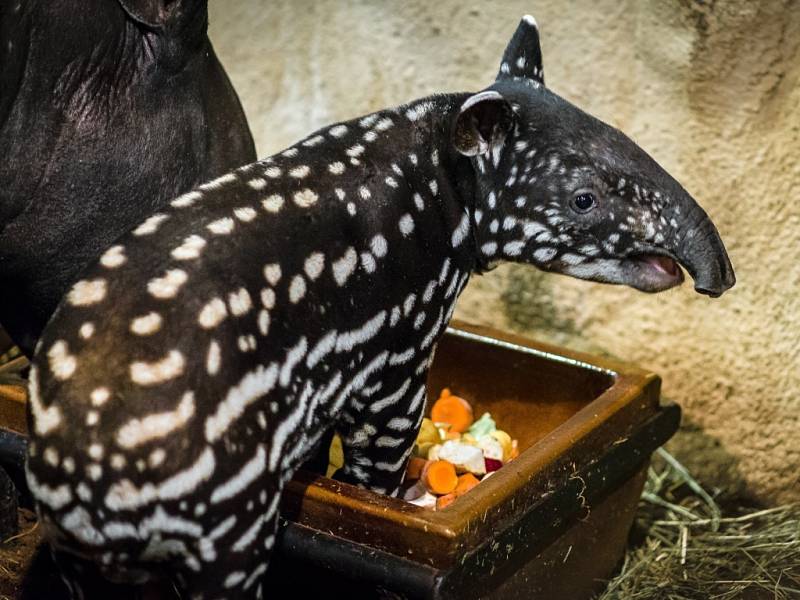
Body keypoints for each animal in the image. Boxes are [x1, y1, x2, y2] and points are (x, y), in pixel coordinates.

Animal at [26, 14, 736, 600]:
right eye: (584, 199)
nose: (718, 276)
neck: (443, 183)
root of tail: (90, 471)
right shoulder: (397, 353)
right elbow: (381, 456)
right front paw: (383, 502)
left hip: (82, 554)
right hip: (222, 518)